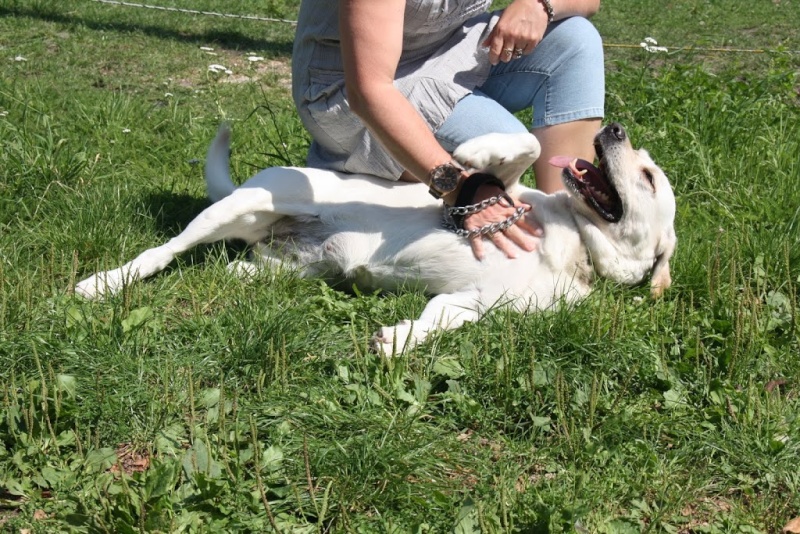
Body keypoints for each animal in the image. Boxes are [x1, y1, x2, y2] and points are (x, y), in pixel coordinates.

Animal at [76, 123, 676, 354]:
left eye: (648, 177)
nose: (615, 129)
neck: (575, 251)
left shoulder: (476, 303)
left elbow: (438, 322)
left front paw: (399, 339)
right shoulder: (495, 198)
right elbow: (516, 150)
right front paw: (475, 151)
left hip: (283, 265)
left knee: (235, 269)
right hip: (238, 209)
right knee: (161, 252)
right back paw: (102, 284)